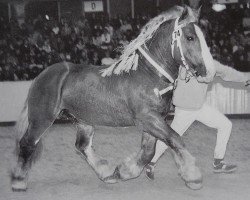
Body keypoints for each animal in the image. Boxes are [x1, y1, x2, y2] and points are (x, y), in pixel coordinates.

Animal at [11, 5, 215, 191]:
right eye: (190, 37)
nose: (209, 72)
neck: (149, 74)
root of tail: (42, 75)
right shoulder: (147, 118)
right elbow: (176, 139)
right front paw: (193, 177)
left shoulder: (154, 120)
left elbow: (149, 151)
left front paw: (124, 171)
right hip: (42, 118)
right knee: (27, 143)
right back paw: (18, 181)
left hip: (83, 120)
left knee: (82, 146)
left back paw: (107, 174)